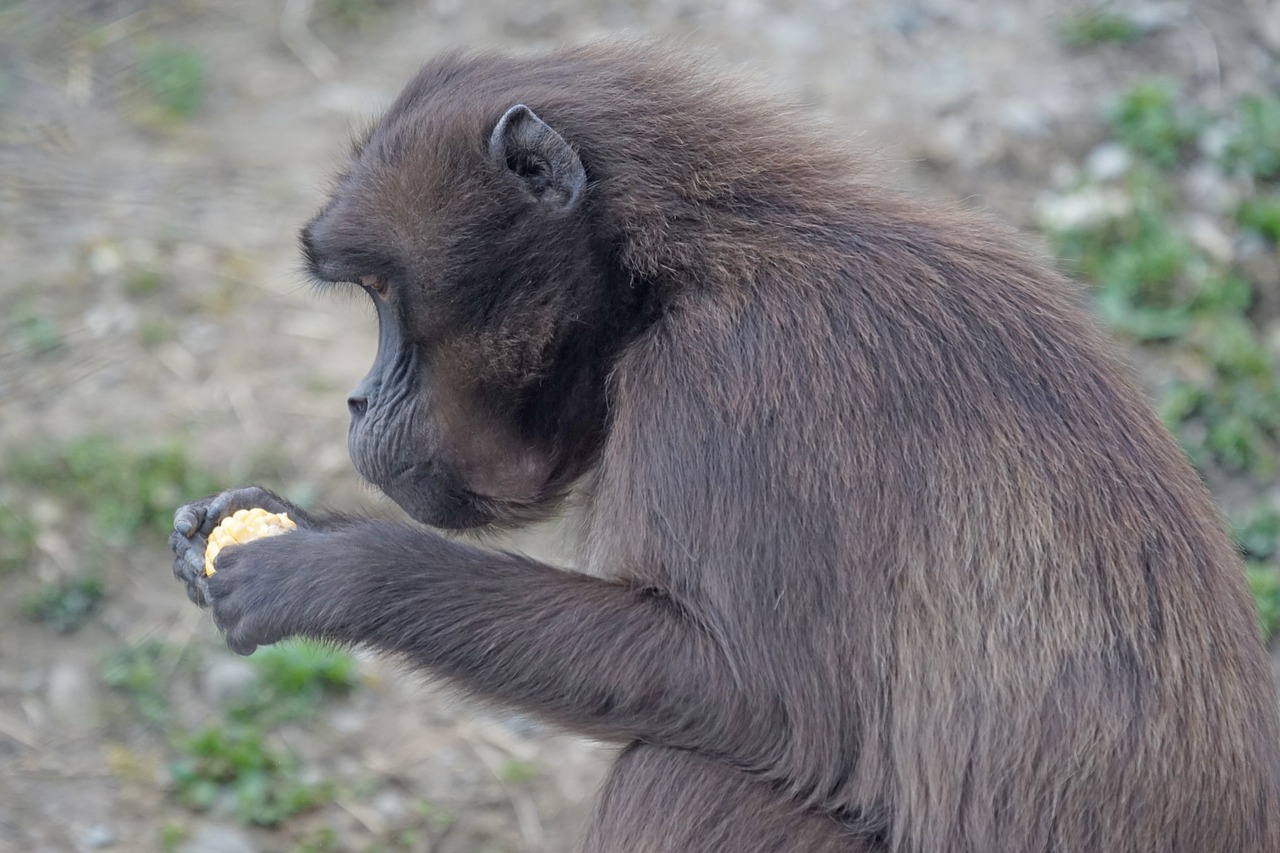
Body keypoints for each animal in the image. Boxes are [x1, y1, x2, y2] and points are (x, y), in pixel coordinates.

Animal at [170, 41, 1280, 850]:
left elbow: (757, 701)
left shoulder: (725, 385)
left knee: (689, 772)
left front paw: (336, 569)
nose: (359, 400)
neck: (682, 266)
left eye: (384, 294)